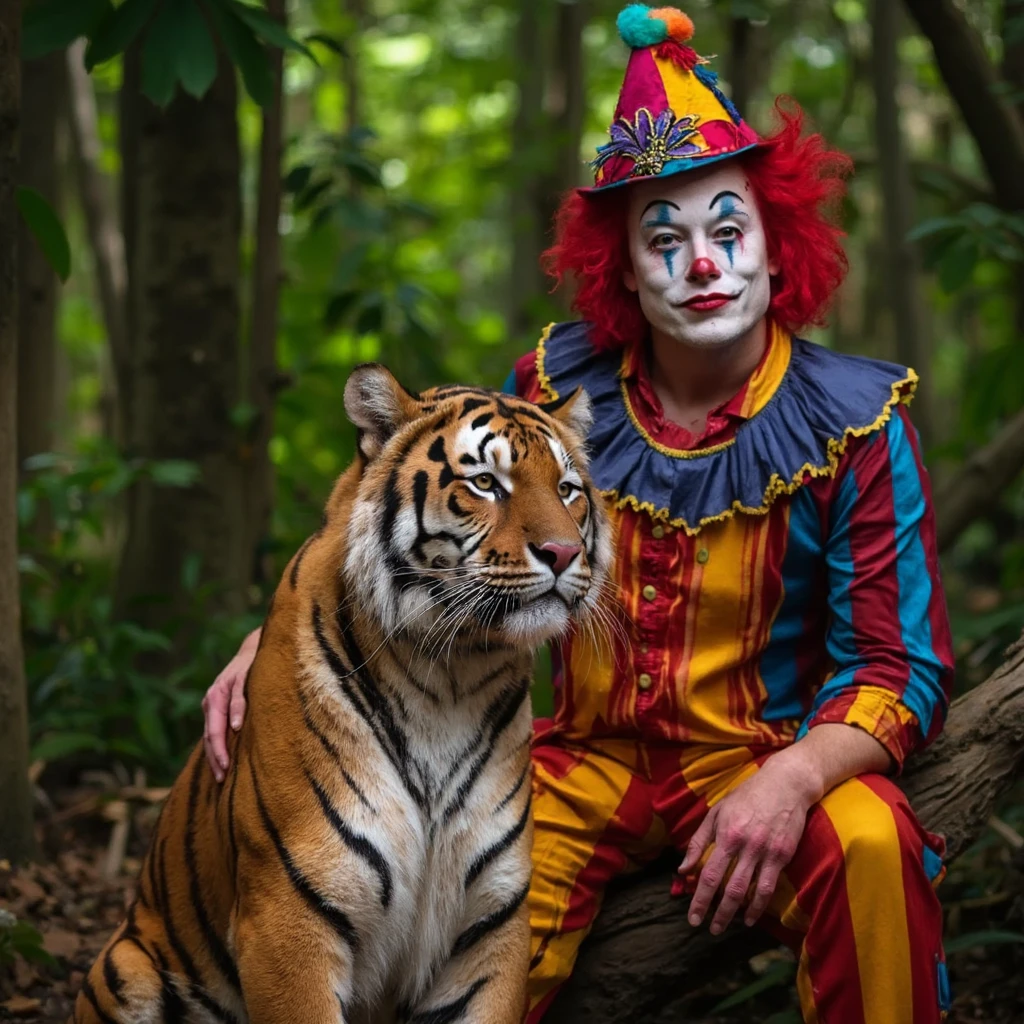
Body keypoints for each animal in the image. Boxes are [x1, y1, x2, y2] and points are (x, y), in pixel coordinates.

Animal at [77, 364, 614, 1024]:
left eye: (567, 490)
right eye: (486, 482)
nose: (564, 554)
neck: (452, 676)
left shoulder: (492, 924)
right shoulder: (289, 916)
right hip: (125, 970)